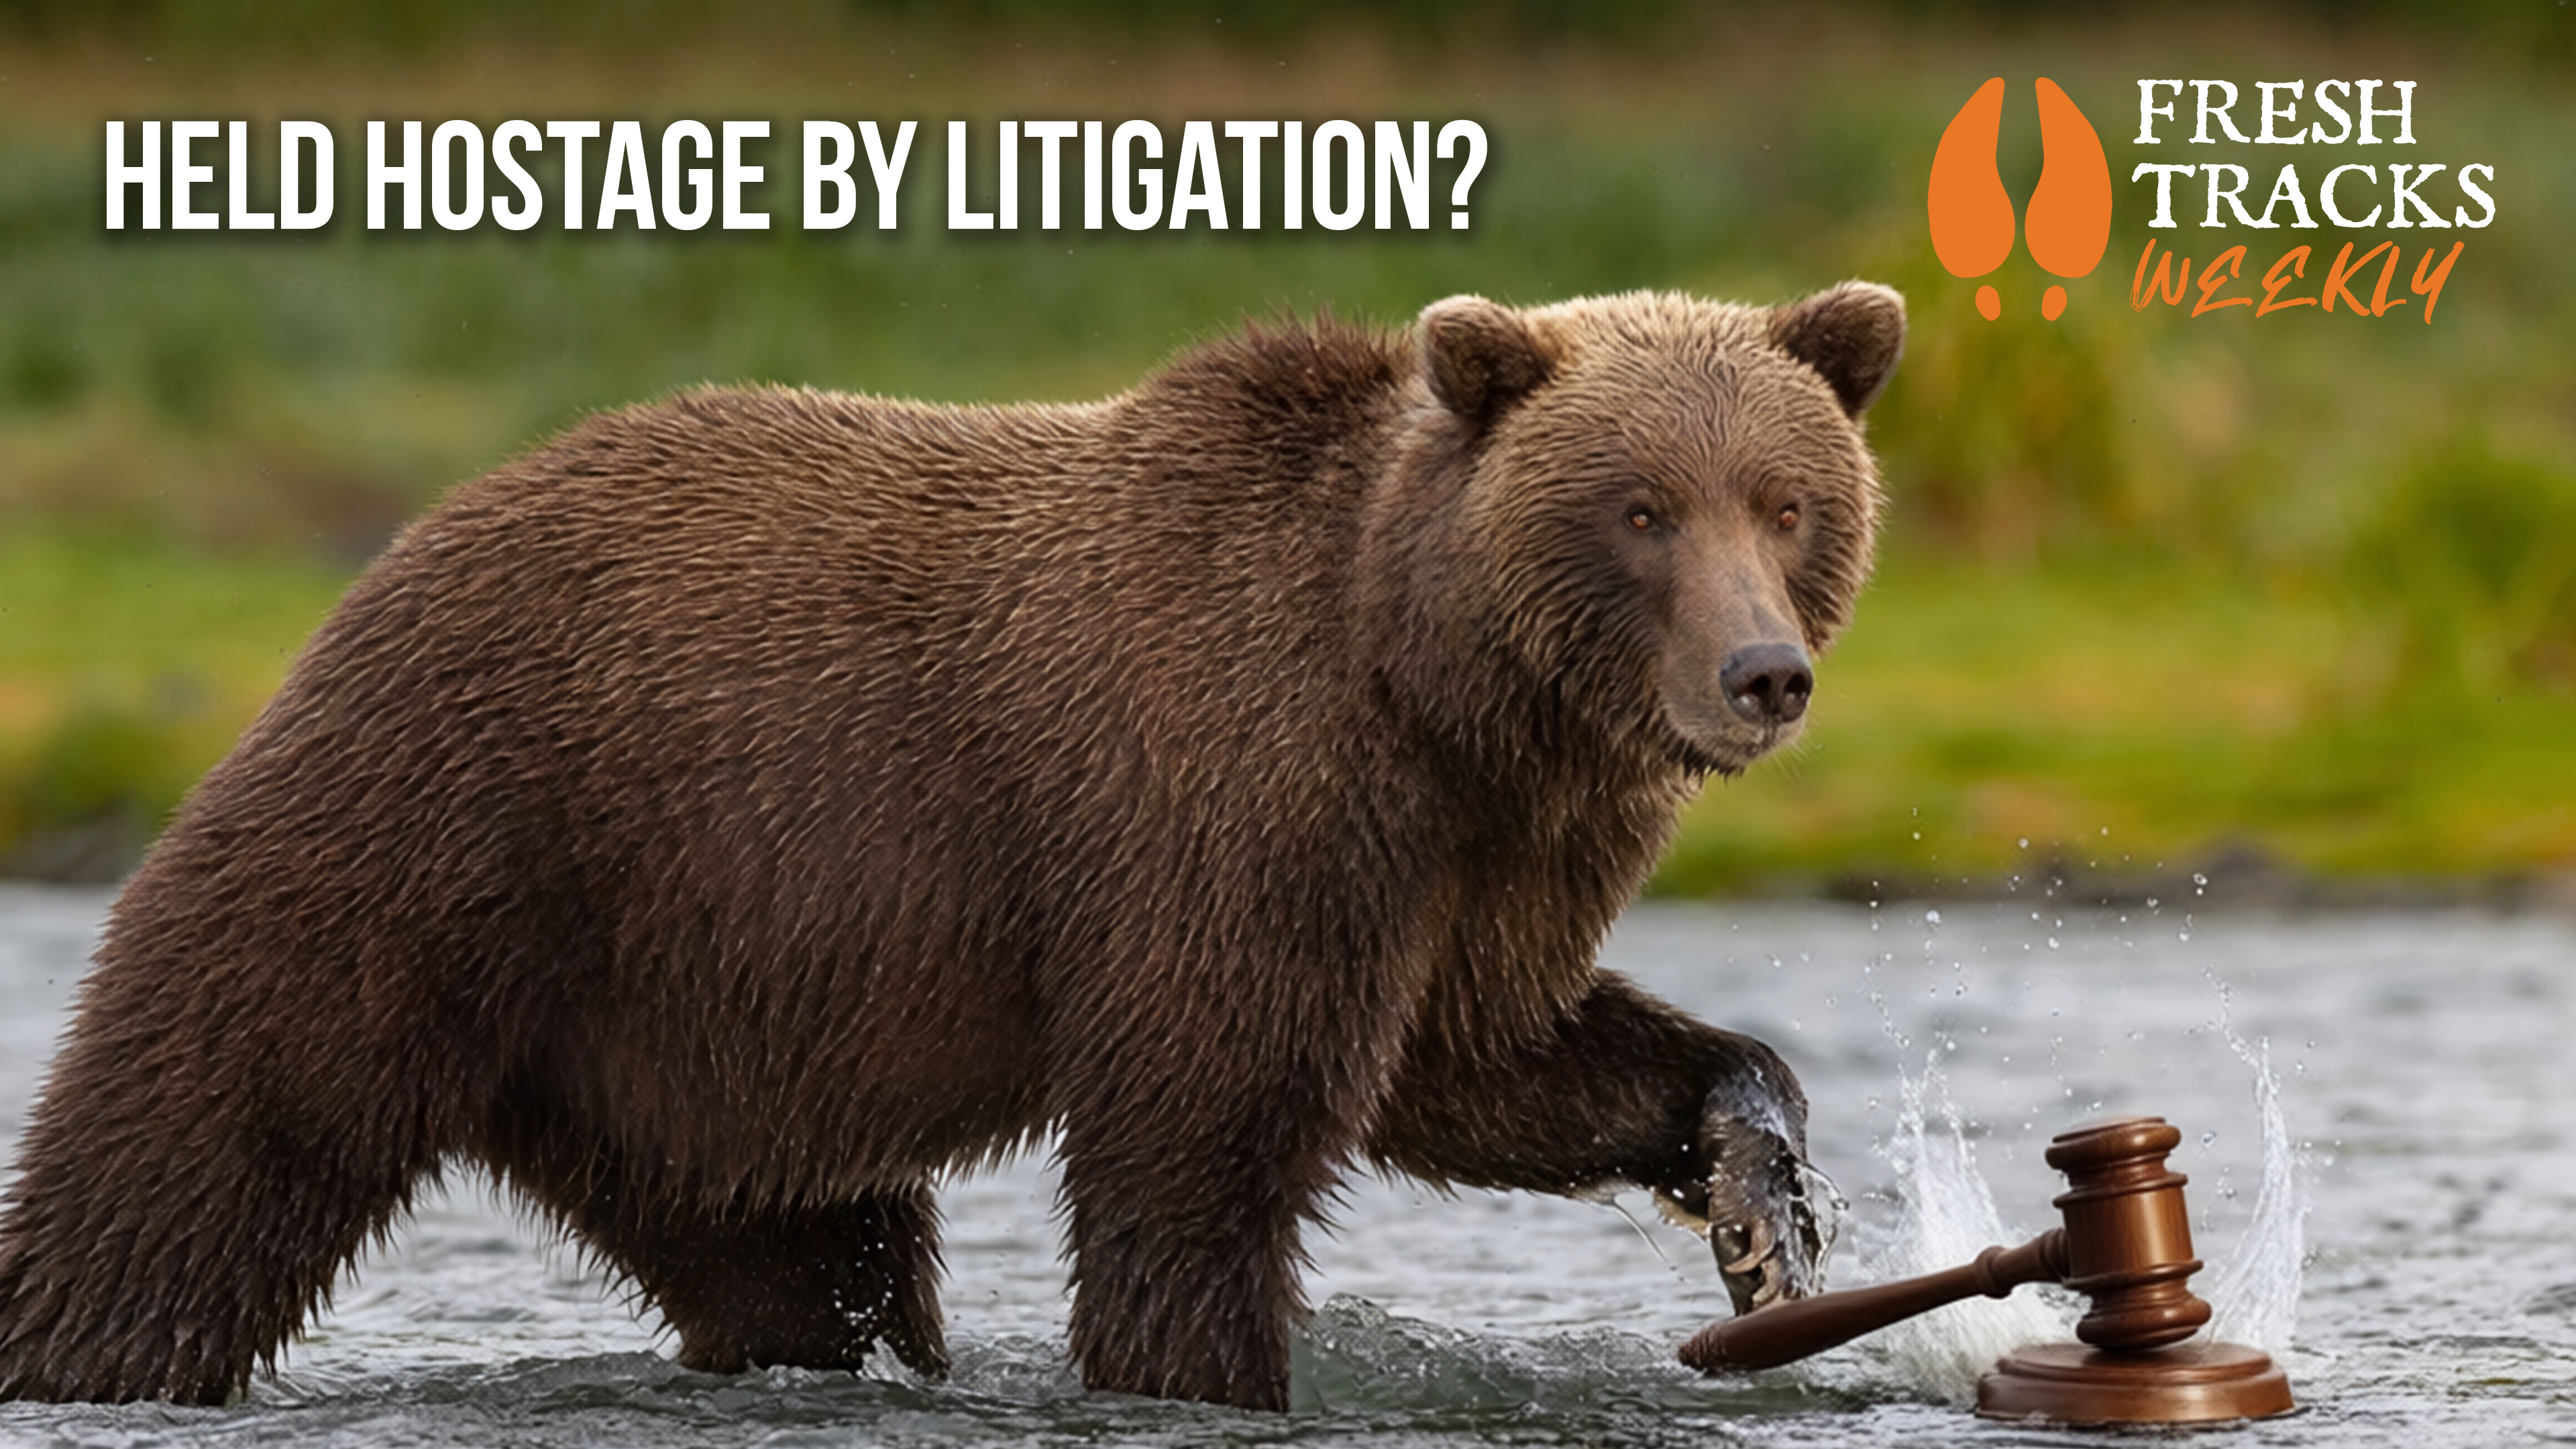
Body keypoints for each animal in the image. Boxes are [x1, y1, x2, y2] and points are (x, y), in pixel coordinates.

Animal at [0, 282, 1903, 1412]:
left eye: (1788, 501)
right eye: (1641, 507)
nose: (1760, 674)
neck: (1434, 685)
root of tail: (390, 555)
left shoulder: (1485, 861)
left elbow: (1485, 1059)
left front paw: (1763, 1202)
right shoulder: (1234, 795)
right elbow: (1206, 1133)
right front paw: (1203, 1367)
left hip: (690, 1049)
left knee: (808, 1263)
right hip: (459, 843)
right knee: (202, 1153)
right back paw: (84, 1352)